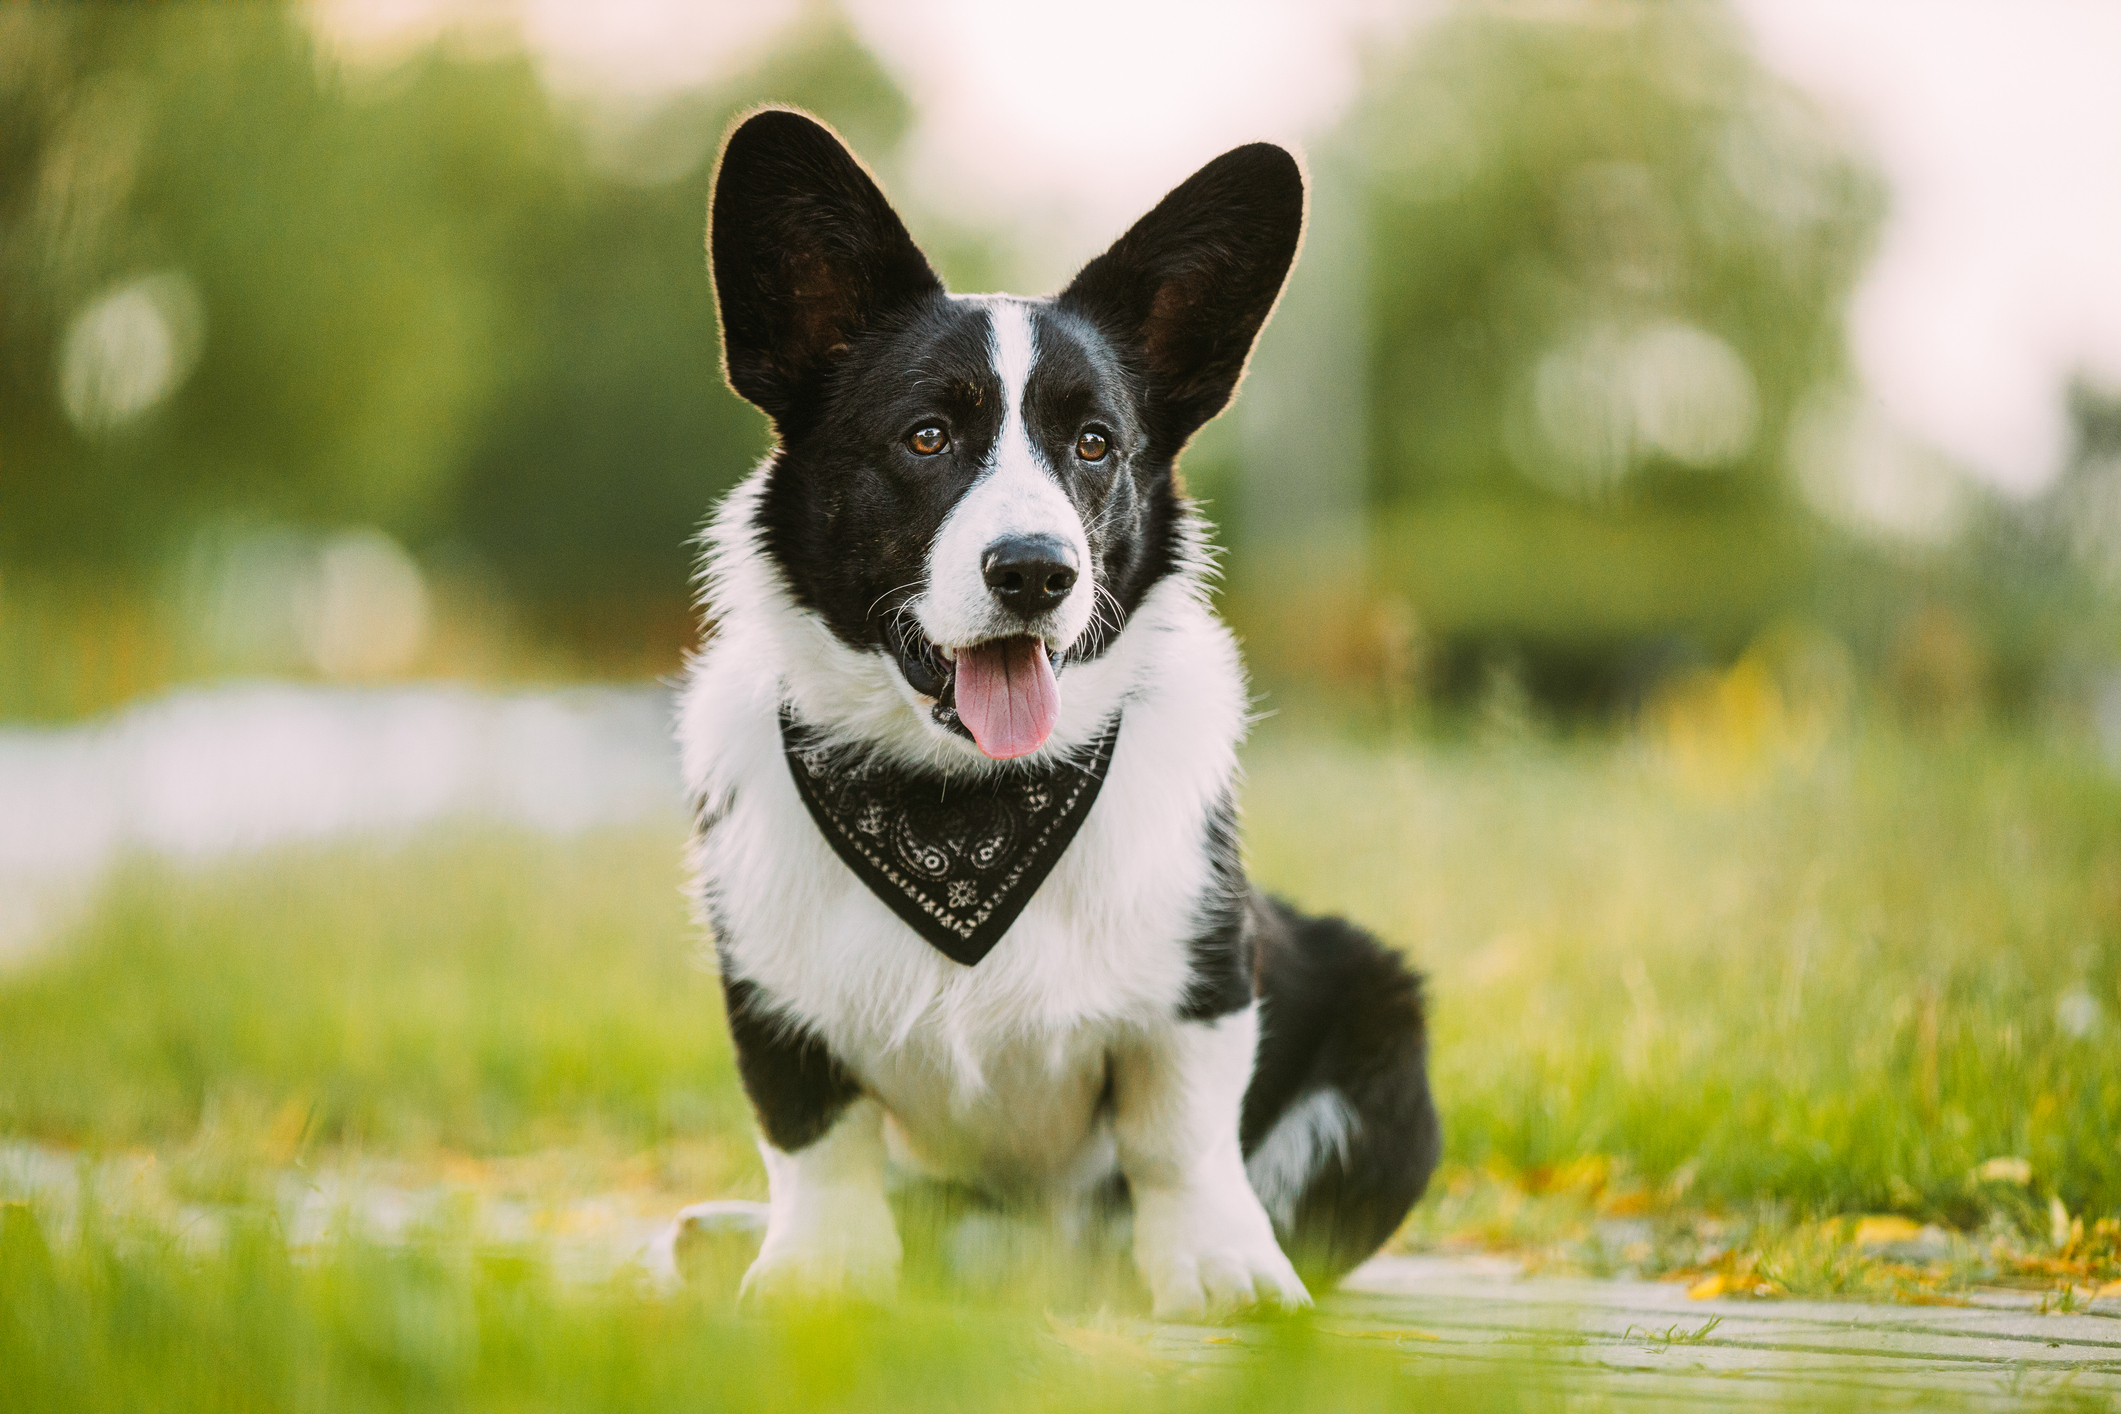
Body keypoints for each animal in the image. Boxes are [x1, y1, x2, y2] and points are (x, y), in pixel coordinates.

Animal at [678, 113, 1442, 1331]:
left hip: (1387, 1033)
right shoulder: (771, 992)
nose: (1036, 571)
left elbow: (1182, 1136)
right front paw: (816, 1272)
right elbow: (817, 1141)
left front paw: (1221, 1270)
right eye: (927, 436)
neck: (960, 803)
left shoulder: (1203, 978)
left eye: (1094, 444)